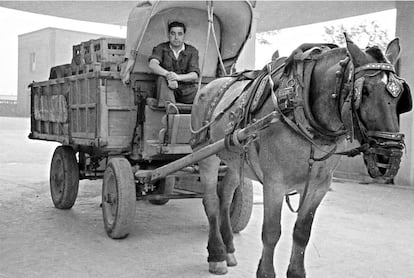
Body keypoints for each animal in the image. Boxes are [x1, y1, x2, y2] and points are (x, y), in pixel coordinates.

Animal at [190, 33, 410, 278]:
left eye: (401, 94)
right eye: (365, 91)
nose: (389, 156)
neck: (298, 106)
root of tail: (210, 85)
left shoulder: (319, 185)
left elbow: (303, 231)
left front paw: (296, 272)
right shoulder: (274, 183)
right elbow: (271, 232)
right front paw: (265, 272)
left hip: (235, 159)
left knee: (226, 196)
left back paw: (228, 248)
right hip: (206, 155)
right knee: (211, 201)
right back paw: (217, 254)